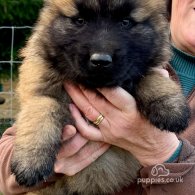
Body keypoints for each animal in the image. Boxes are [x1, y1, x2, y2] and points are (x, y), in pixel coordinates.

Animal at [10, 0, 189, 194]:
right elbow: (42, 110)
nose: (100, 61)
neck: (94, 86)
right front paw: (31, 161)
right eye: (80, 20)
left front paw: (170, 107)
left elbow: (148, 76)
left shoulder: (138, 69)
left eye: (125, 22)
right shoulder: (40, 88)